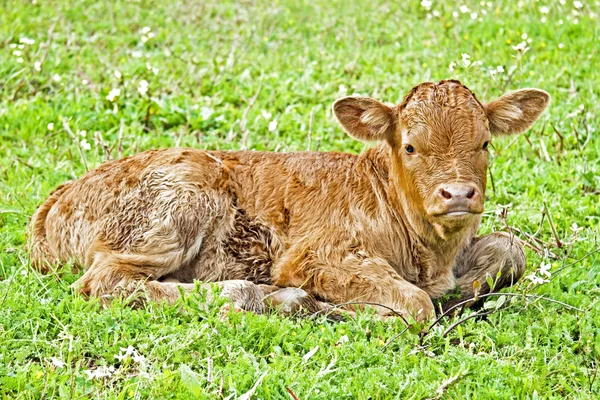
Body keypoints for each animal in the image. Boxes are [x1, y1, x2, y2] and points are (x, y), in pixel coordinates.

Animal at [30, 79, 552, 320]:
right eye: (409, 146)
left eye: (484, 142)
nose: (458, 193)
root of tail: (56, 200)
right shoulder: (314, 256)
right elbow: (415, 305)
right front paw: (340, 310)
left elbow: (510, 247)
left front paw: (461, 297)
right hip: (176, 204)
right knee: (106, 281)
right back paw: (263, 296)